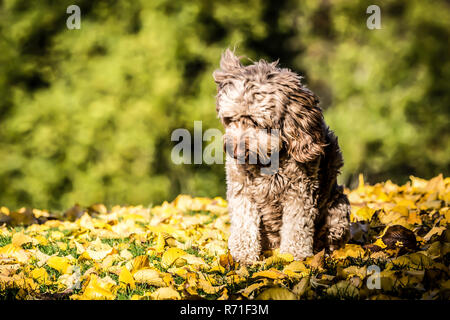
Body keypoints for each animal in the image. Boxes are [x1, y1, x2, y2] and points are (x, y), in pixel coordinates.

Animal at [213, 49, 350, 264]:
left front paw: (294, 257)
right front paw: (243, 255)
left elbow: (296, 227)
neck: (267, 160)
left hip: (339, 211)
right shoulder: (241, 190)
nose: (234, 150)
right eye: (230, 119)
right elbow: (244, 223)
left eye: (257, 122)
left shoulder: (300, 191)